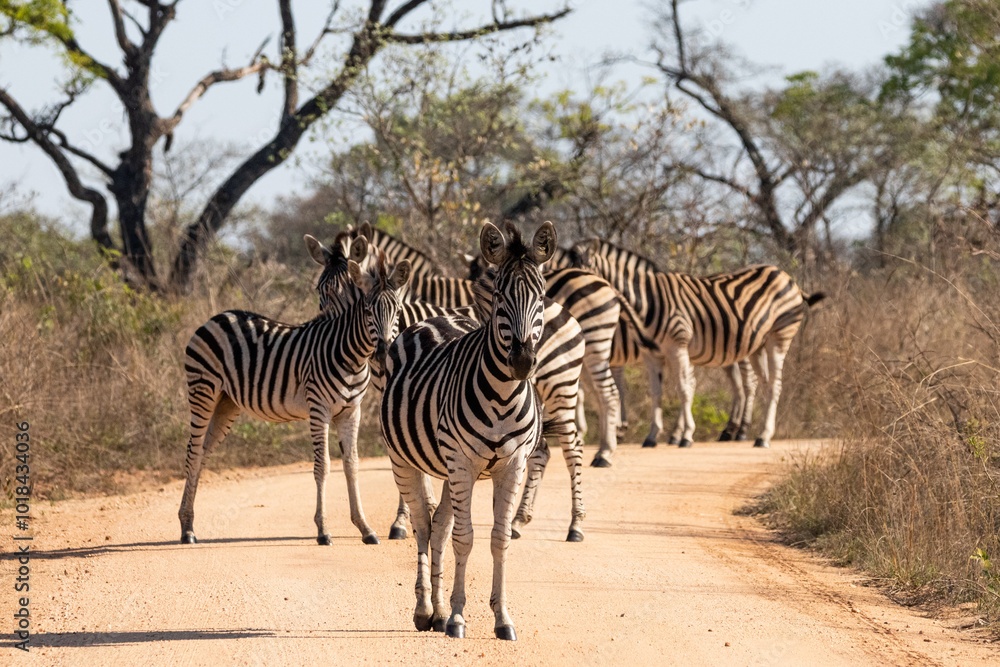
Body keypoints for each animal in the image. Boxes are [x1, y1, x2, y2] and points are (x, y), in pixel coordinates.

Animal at [178, 232, 410, 545]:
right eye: (368, 310)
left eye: (397, 311)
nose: (384, 352)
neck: (352, 356)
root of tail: (217, 316)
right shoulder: (318, 409)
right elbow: (323, 466)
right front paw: (323, 531)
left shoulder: (351, 412)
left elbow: (352, 465)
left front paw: (365, 528)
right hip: (202, 390)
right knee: (192, 452)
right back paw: (187, 531)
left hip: (226, 403)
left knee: (201, 451)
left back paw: (189, 523)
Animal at [379, 221, 554, 640]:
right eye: (500, 295)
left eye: (542, 295)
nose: (522, 361)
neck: (504, 395)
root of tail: (439, 317)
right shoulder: (462, 462)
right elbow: (465, 538)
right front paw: (459, 617)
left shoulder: (513, 464)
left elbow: (499, 539)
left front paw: (502, 619)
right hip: (405, 461)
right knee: (424, 526)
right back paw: (426, 611)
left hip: (448, 470)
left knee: (439, 525)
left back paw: (439, 611)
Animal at [566, 239, 823, 448]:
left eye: (580, 276)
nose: (571, 313)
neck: (647, 301)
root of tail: (788, 278)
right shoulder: (652, 354)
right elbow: (657, 393)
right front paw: (652, 437)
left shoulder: (677, 346)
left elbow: (683, 389)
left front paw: (686, 436)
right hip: (754, 347)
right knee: (761, 384)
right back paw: (744, 433)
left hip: (778, 338)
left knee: (769, 385)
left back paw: (760, 436)